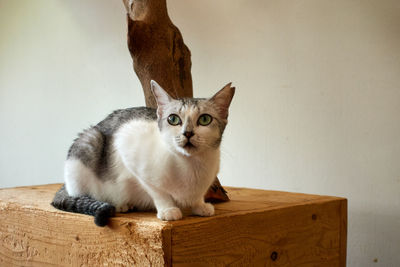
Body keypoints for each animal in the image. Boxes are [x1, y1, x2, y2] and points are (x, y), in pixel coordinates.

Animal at [52, 80, 236, 227]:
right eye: (173, 119)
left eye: (205, 119)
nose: (188, 133)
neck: (191, 165)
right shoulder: (128, 148)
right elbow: (157, 191)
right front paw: (168, 209)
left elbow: (197, 197)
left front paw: (200, 205)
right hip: (88, 143)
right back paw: (120, 205)